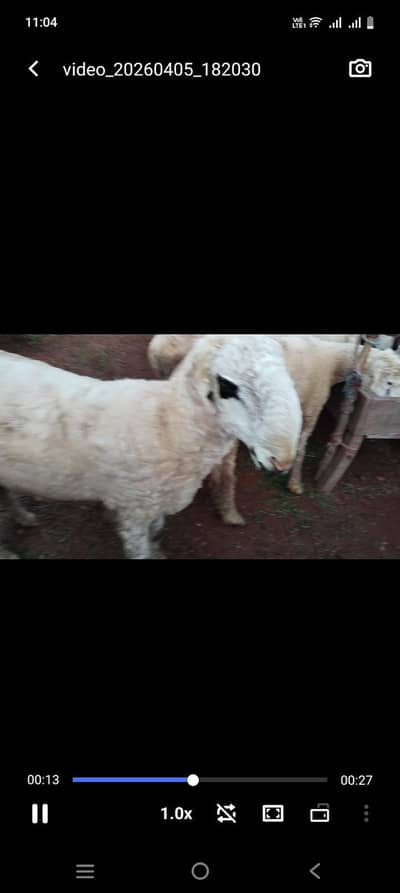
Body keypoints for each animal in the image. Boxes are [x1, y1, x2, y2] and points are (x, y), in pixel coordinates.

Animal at [0, 336, 302, 559]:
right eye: (227, 384)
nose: (282, 460)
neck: (166, 424)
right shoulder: (133, 509)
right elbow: (140, 548)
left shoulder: (154, 505)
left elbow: (156, 533)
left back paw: (23, 517)